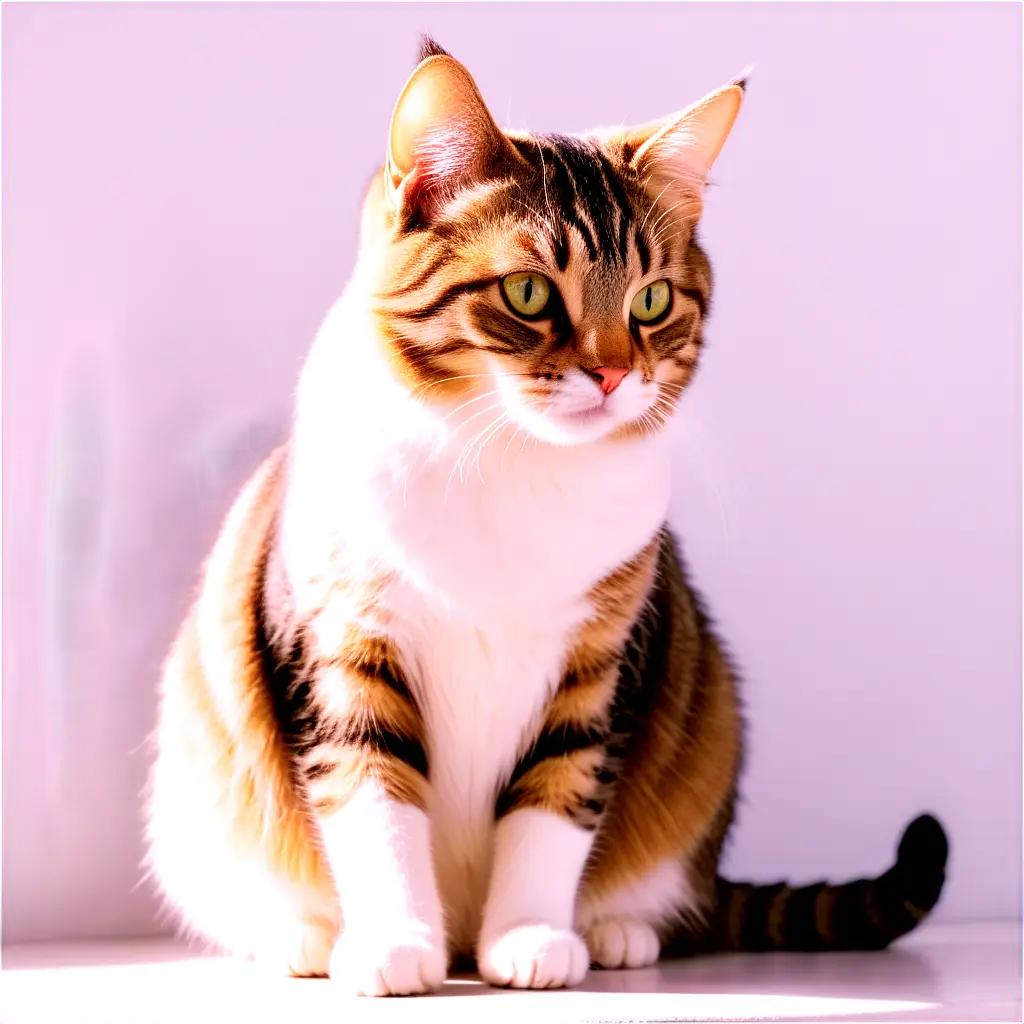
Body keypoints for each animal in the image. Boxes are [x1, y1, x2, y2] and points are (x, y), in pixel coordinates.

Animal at [142, 37, 942, 991]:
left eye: (651, 301)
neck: (511, 463)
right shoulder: (342, 642)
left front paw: (529, 939)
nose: (612, 373)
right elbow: (372, 793)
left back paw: (615, 930)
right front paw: (394, 945)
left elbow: (557, 800)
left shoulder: (600, 662)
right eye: (529, 293)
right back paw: (301, 937)